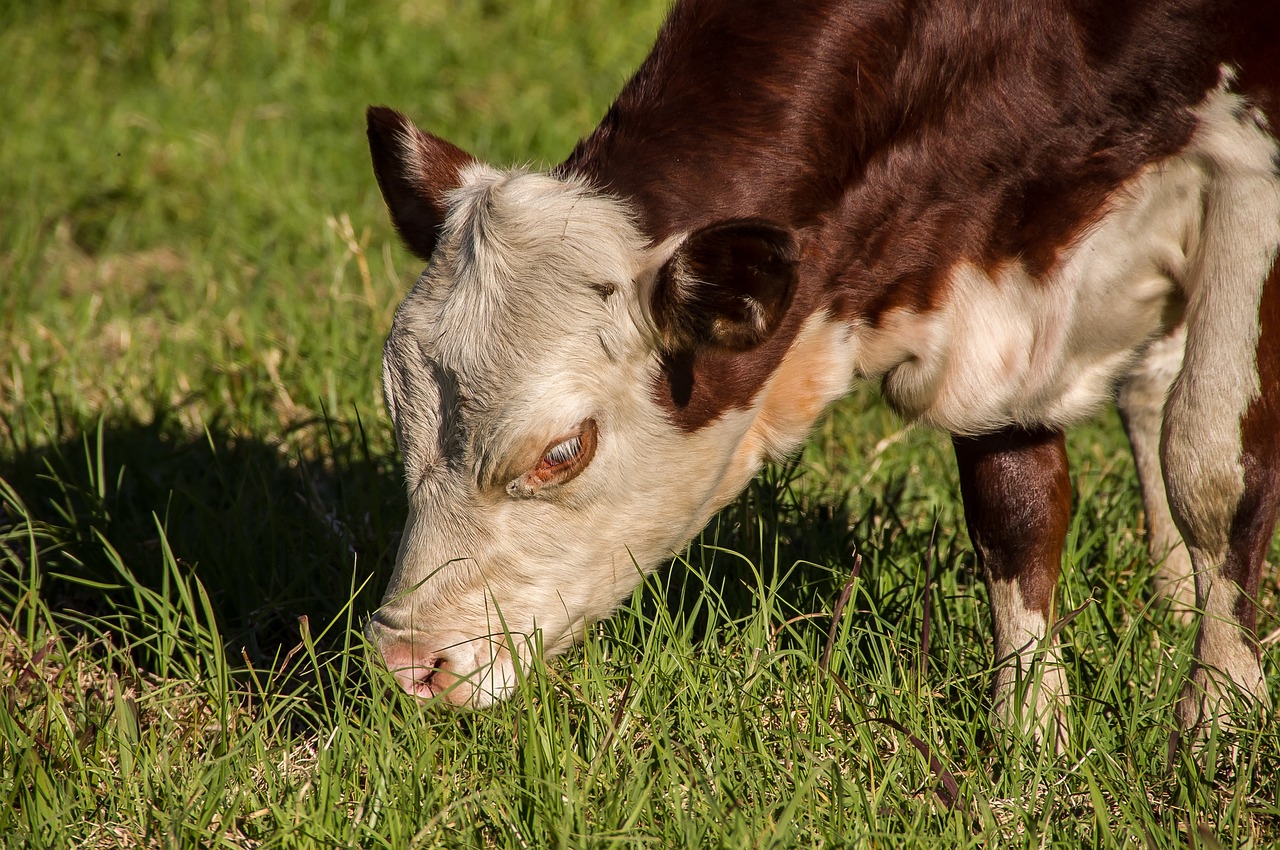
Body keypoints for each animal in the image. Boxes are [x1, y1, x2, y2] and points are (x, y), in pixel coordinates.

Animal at [363, 0, 1280, 747]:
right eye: (399, 417)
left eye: (563, 451)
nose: (408, 662)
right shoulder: (992, 295)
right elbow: (1016, 508)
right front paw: (1029, 735)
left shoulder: (1246, 161)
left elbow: (1211, 465)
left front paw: (1220, 716)